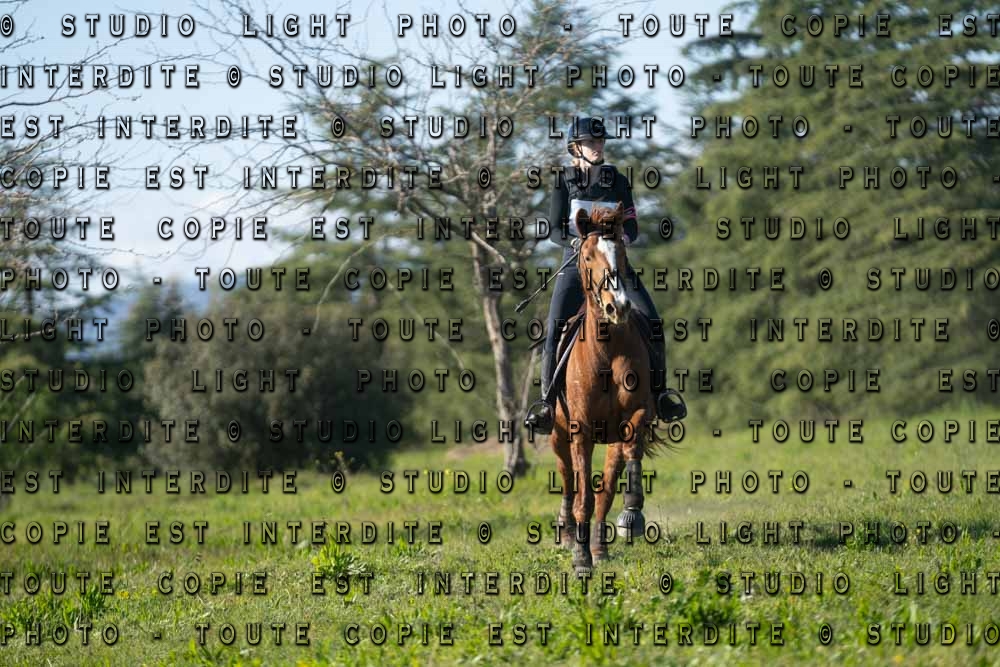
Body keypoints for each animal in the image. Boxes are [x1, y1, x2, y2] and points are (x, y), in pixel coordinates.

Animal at [548, 201, 672, 574]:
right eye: (588, 256)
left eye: (621, 251)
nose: (618, 306)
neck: (607, 348)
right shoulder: (581, 429)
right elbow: (583, 495)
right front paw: (580, 559)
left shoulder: (636, 414)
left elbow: (618, 475)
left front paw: (630, 515)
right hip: (557, 434)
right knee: (568, 481)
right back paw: (568, 533)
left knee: (604, 484)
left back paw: (600, 543)